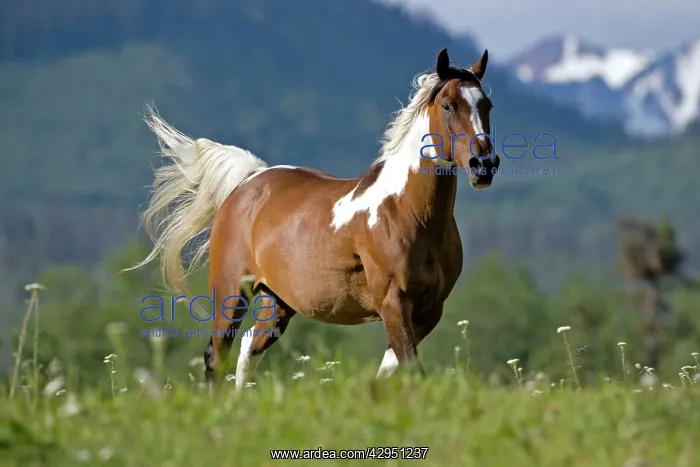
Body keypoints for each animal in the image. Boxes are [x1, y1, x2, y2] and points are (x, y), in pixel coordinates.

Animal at [130, 47, 500, 388]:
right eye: (448, 105)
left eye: (487, 105)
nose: (484, 165)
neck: (406, 211)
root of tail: (250, 180)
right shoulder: (394, 303)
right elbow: (409, 368)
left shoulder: (429, 310)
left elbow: (391, 369)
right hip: (231, 293)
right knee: (216, 355)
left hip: (277, 301)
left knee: (249, 348)